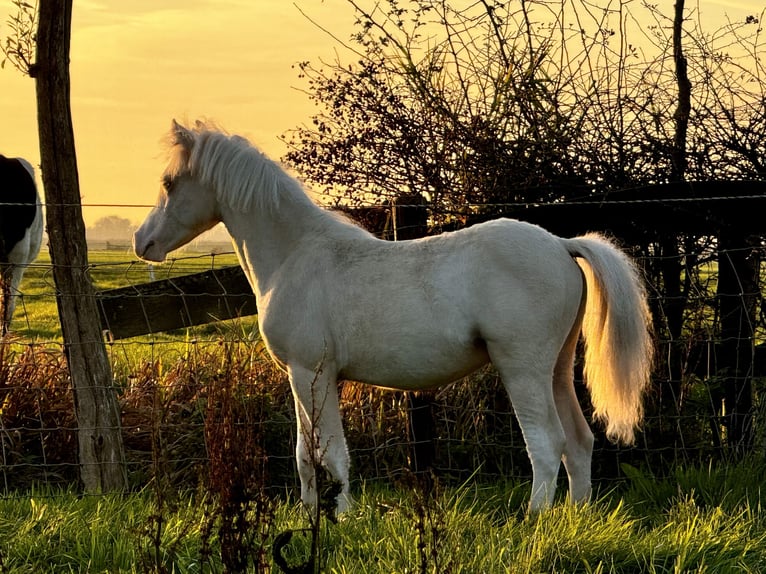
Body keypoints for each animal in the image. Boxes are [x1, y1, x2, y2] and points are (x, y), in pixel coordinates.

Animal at [136, 120, 656, 512]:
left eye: (168, 184)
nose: (143, 242)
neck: (297, 254)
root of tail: (561, 245)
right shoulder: (305, 378)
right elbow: (306, 453)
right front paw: (309, 514)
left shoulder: (311, 374)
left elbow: (331, 452)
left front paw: (342, 517)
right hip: (558, 369)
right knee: (579, 442)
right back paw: (574, 517)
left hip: (522, 370)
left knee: (547, 444)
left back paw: (534, 519)